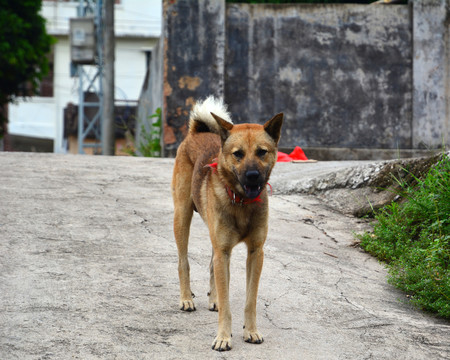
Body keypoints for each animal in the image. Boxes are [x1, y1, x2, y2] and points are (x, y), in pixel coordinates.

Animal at [171, 96, 284, 352]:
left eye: (262, 152)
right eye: (238, 154)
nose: (252, 175)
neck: (241, 201)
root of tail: (198, 131)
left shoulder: (255, 253)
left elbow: (250, 300)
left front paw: (251, 331)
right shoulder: (224, 250)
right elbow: (226, 300)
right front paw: (223, 336)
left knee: (212, 265)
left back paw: (212, 300)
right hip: (182, 217)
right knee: (184, 262)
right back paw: (186, 298)